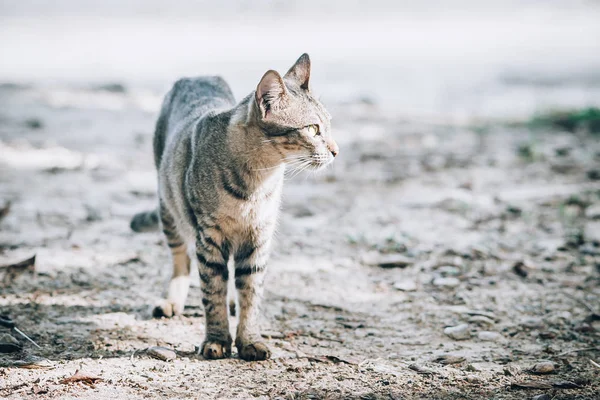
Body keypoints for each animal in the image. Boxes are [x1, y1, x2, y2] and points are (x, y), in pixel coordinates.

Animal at [129, 54, 338, 360]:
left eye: (329, 125)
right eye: (313, 129)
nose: (336, 150)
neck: (258, 181)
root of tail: (198, 75)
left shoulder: (258, 238)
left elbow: (250, 294)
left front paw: (249, 340)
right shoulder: (209, 237)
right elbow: (211, 292)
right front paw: (217, 340)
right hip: (169, 207)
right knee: (182, 259)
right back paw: (172, 300)